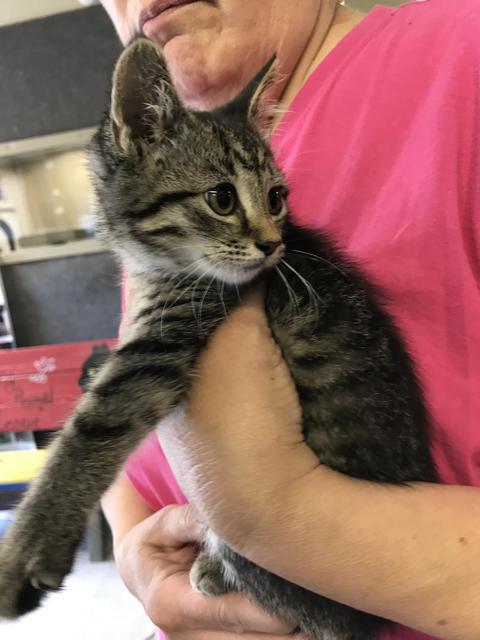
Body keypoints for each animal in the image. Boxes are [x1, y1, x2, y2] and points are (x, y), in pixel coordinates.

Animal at [0, 41, 436, 640]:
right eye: (222, 198)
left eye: (276, 198)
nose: (274, 244)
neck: (164, 267)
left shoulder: (164, 343)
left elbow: (94, 426)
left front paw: (27, 551)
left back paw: (212, 568)